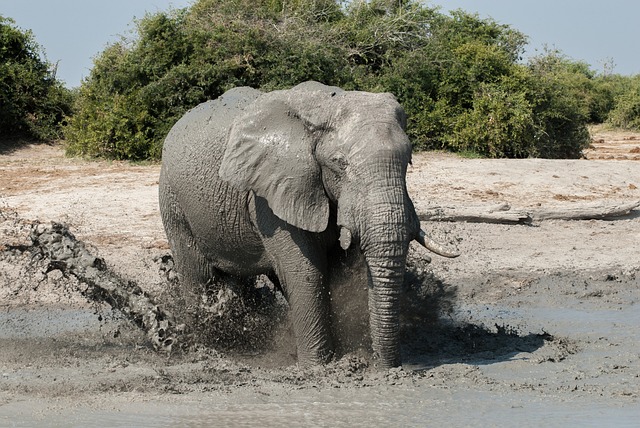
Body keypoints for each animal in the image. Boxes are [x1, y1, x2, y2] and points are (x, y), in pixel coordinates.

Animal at [160, 81, 460, 368]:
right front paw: (316, 367)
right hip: (174, 202)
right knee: (198, 276)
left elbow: (334, 271)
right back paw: (211, 346)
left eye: (408, 161)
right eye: (340, 164)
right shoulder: (270, 194)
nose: (387, 367)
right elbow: (305, 272)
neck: (326, 105)